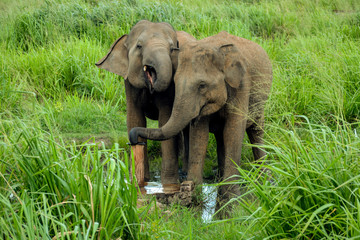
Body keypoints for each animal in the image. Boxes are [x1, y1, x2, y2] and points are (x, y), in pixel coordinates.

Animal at [95, 21, 195, 186]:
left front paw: (168, 185)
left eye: (172, 48)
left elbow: (164, 119)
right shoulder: (129, 82)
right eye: (139, 46)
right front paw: (138, 181)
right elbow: (135, 119)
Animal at [129, 31, 272, 201]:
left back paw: (264, 178)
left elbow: (233, 132)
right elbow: (200, 134)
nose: (134, 138)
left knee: (256, 131)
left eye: (202, 86)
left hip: (260, 100)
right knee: (221, 136)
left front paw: (231, 196)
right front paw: (192, 190)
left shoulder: (242, 85)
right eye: (175, 83)